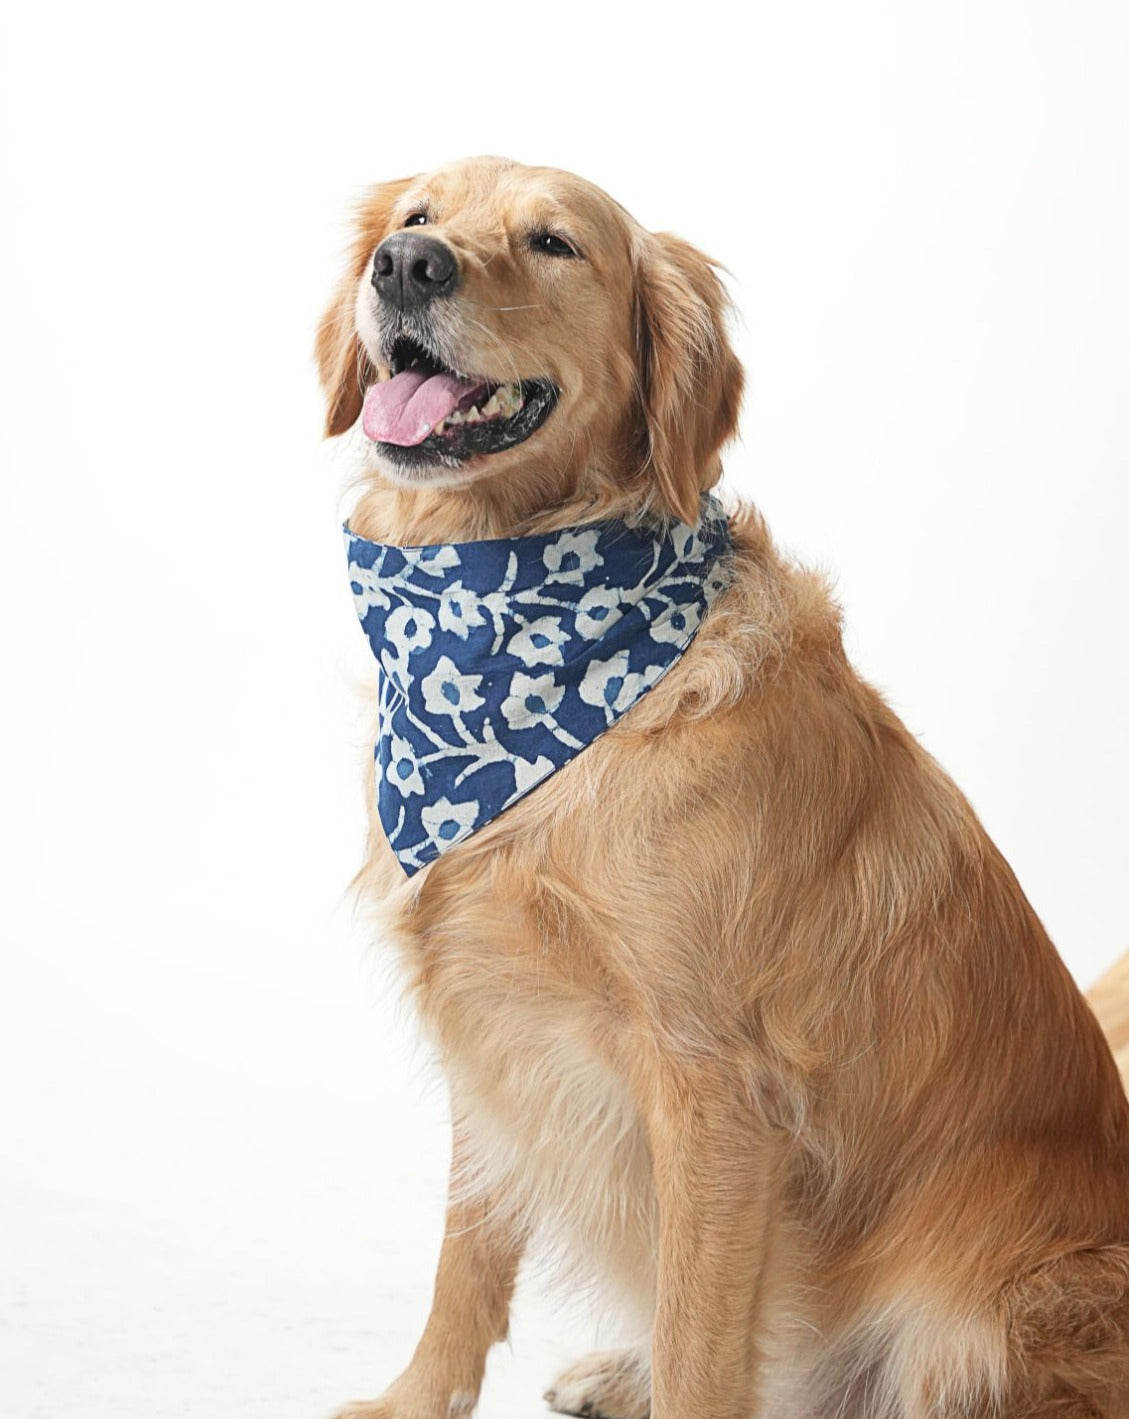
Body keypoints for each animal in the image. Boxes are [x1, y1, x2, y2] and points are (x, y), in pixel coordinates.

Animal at [313, 158, 1129, 1419]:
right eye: (415, 217)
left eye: (553, 242)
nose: (407, 267)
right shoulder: (493, 1026)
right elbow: (467, 1255)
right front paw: (413, 1402)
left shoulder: (712, 1087)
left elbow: (701, 1338)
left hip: (990, 1307)